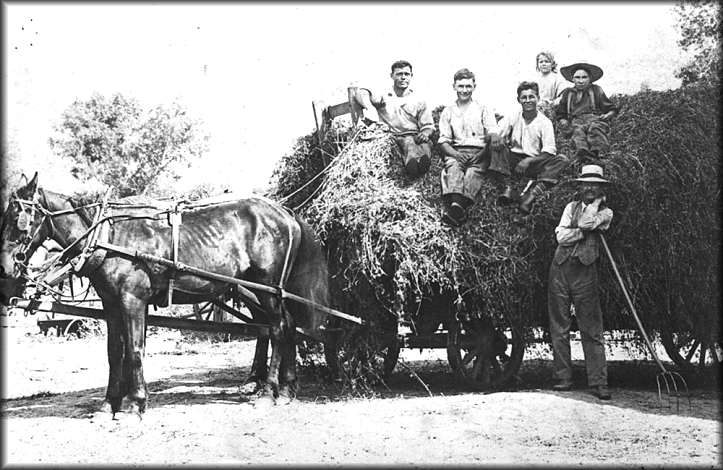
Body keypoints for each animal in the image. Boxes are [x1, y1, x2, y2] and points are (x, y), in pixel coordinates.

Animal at [0, 174, 332, 416]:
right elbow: (115, 352)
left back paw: (268, 391)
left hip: (267, 289)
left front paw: (134, 405)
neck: (109, 237)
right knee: (286, 327)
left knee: (277, 328)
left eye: (19, 220)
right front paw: (109, 404)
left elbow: (135, 351)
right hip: (267, 291)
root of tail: (285, 213)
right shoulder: (111, 304)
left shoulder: (133, 301)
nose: (5, 268)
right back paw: (286, 390)